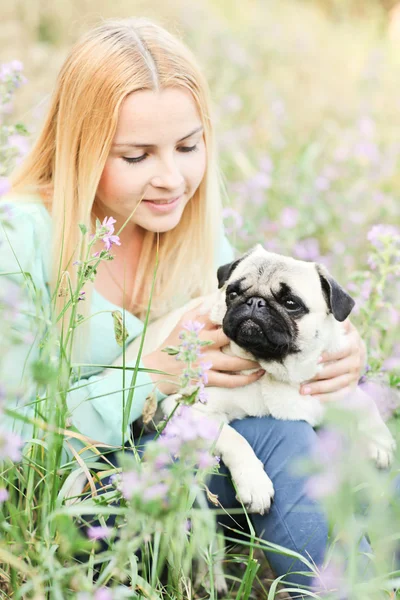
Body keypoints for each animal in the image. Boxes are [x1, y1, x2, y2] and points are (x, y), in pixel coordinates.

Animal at [115, 245, 394, 516]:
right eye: (233, 292)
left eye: (291, 303)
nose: (255, 302)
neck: (273, 370)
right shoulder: (190, 408)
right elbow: (235, 439)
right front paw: (254, 483)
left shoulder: (333, 385)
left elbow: (365, 402)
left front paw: (379, 441)